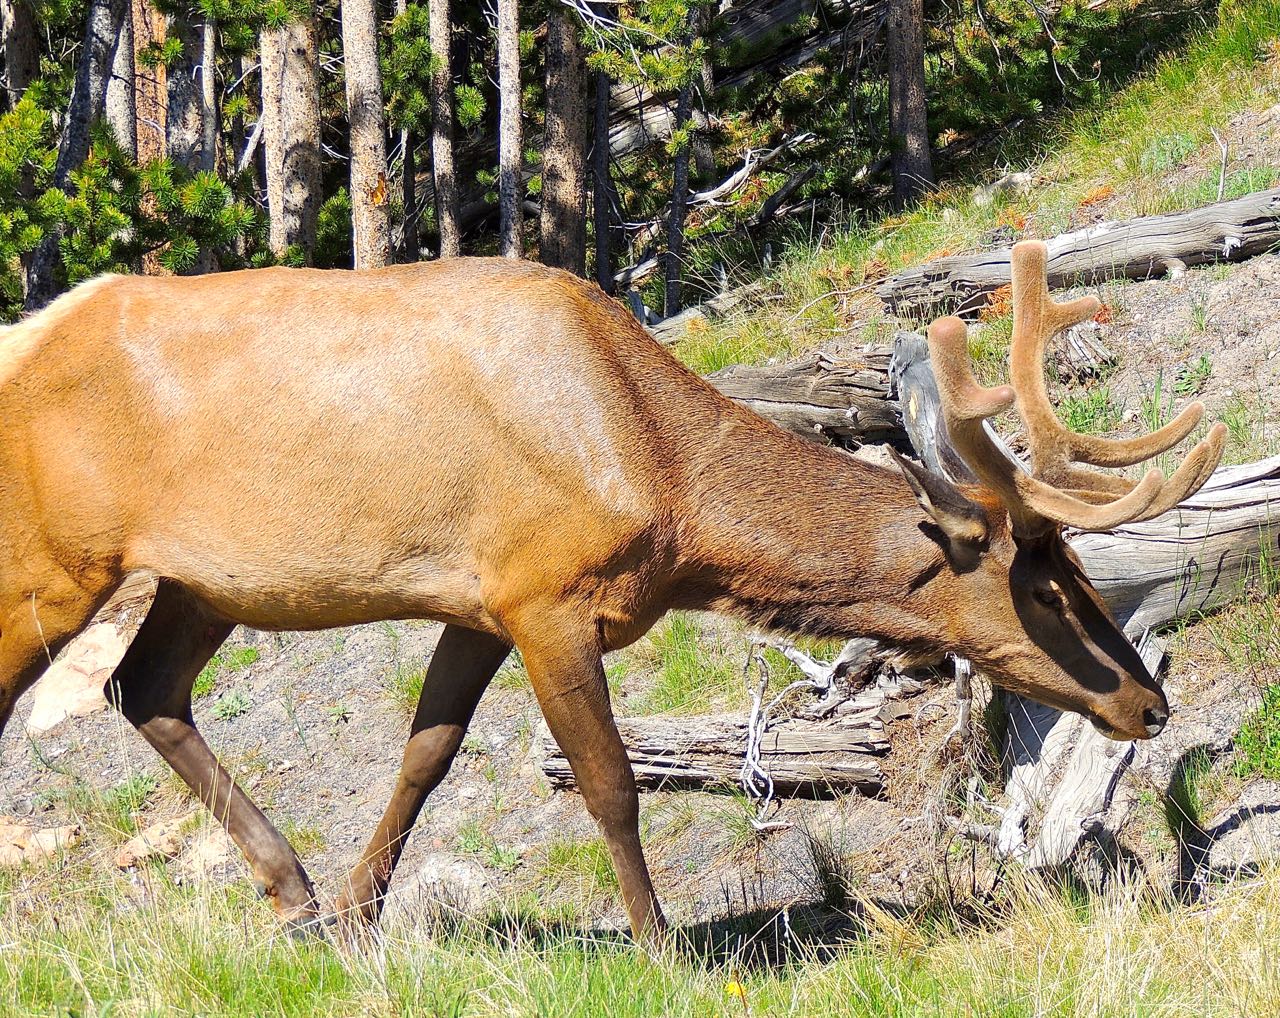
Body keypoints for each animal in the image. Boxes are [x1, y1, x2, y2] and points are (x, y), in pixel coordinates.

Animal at [0, 239, 1218, 937]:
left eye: (1075, 570)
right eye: (1043, 586)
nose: (1147, 701)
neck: (667, 497)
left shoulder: (480, 603)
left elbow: (425, 755)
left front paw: (351, 913)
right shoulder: (546, 595)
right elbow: (609, 784)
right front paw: (661, 942)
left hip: (199, 578)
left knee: (143, 687)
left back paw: (289, 887)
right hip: (49, 563)